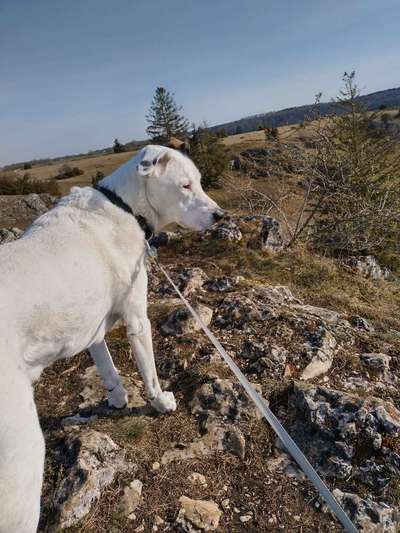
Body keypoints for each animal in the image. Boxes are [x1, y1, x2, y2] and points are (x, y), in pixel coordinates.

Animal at [0, 143, 225, 528]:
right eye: (185, 185)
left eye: (198, 181)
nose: (220, 216)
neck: (126, 207)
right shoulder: (138, 320)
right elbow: (149, 374)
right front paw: (161, 402)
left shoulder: (92, 328)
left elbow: (108, 369)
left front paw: (117, 399)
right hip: (22, 467)